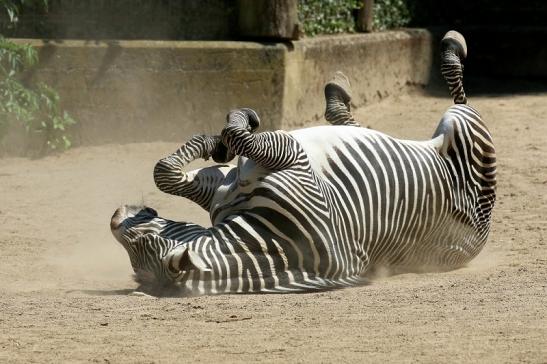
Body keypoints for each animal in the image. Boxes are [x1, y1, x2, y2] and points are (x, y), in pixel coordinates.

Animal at [111, 31, 496, 296]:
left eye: (145, 239)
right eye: (136, 248)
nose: (115, 218)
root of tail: (481, 235)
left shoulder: (281, 158)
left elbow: (173, 168)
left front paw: (220, 138)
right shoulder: (268, 164)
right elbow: (182, 164)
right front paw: (227, 133)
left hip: (459, 124)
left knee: (454, 94)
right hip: (461, 126)